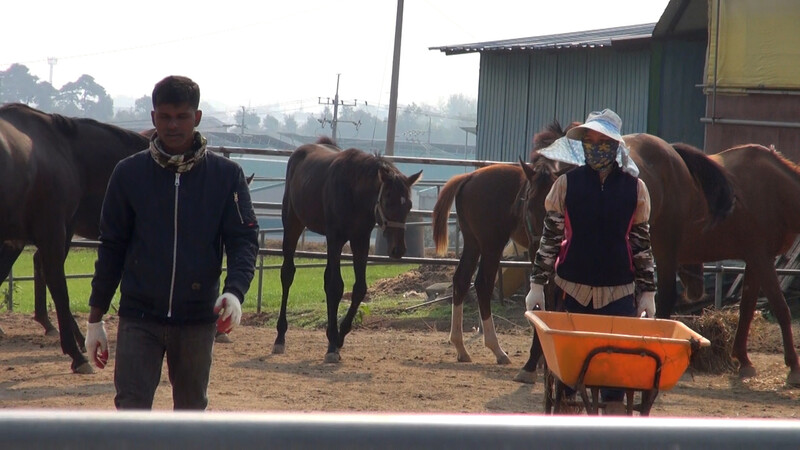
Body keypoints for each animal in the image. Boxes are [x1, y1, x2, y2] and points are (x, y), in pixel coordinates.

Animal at [274, 137, 424, 362]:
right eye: (388, 200)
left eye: (409, 205)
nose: (398, 249)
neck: (354, 191)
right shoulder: (335, 238)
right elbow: (335, 286)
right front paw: (332, 345)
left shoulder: (360, 240)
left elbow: (359, 288)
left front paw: (339, 336)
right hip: (293, 224)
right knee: (287, 273)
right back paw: (280, 336)